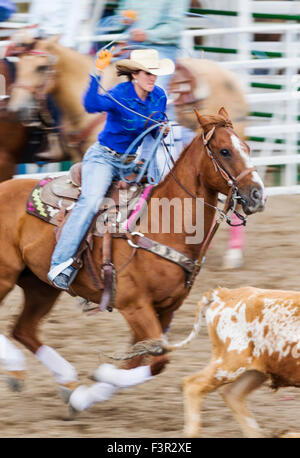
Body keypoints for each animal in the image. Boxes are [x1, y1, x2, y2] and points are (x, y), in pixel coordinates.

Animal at [0, 108, 264, 416]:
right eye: (225, 151)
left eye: (247, 147)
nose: (258, 195)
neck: (163, 223)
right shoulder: (135, 306)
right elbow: (158, 359)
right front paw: (100, 377)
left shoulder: (165, 310)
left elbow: (141, 360)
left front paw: (87, 394)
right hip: (5, 275)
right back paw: (20, 367)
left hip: (40, 285)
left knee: (24, 329)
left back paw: (63, 380)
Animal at [183, 286, 300, 440]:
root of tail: (224, 294)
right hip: (230, 363)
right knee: (193, 385)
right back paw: (192, 433)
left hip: (255, 372)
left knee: (233, 393)